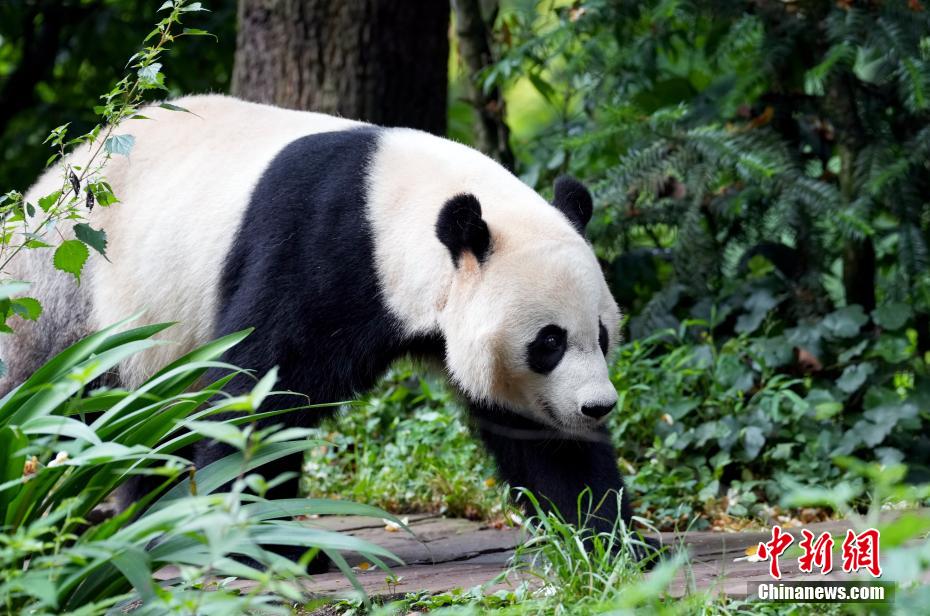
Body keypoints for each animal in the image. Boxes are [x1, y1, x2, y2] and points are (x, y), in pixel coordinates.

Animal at [3, 94, 652, 560]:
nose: (597, 406)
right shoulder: (314, 249)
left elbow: (538, 436)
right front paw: (248, 539)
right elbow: (261, 392)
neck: (392, 211)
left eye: (601, 335)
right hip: (72, 293)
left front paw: (611, 541)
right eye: (549, 342)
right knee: (62, 400)